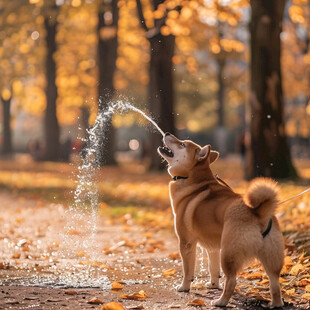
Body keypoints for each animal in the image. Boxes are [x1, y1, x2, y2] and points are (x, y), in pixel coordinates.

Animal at [159, 133, 284, 308]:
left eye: (182, 144)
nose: (167, 133)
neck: (193, 180)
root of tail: (259, 213)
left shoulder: (186, 243)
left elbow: (188, 270)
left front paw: (184, 287)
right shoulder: (212, 247)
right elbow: (213, 268)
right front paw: (213, 285)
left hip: (229, 254)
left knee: (231, 281)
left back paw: (221, 301)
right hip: (271, 259)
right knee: (275, 284)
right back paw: (276, 304)